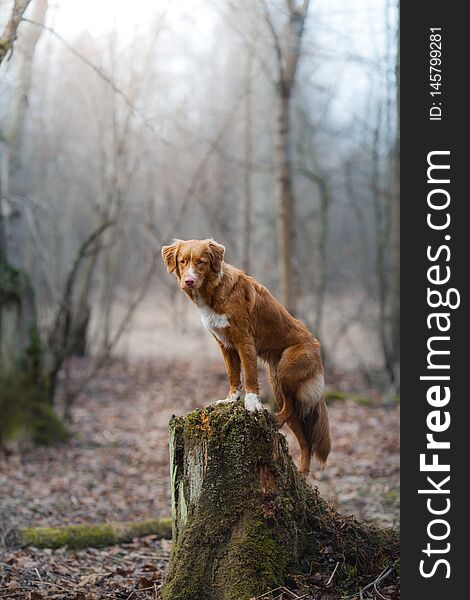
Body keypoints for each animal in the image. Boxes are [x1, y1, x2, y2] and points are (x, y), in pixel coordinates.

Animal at [162, 237, 330, 476]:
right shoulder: (225, 345)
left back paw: (274, 420)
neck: (213, 292)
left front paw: (252, 404)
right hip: (277, 384)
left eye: (201, 262)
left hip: (286, 372)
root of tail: (317, 345)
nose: (189, 281)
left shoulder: (244, 341)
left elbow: (249, 375)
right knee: (302, 434)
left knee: (290, 408)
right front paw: (231, 400)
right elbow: (234, 375)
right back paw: (302, 473)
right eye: (183, 261)